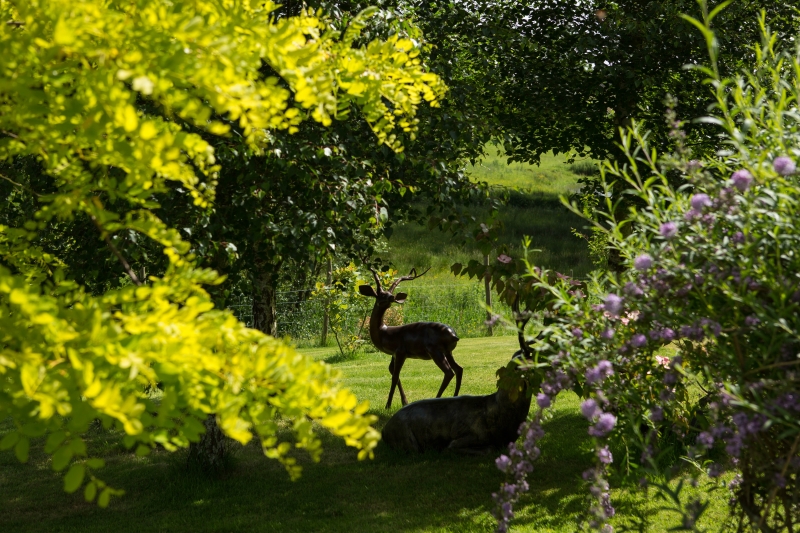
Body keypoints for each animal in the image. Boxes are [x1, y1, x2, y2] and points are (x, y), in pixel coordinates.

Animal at [358, 266, 460, 408]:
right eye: (381, 294)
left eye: (389, 293)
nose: (391, 297)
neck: (384, 332)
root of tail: (454, 335)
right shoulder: (394, 354)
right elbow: (392, 371)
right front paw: (404, 402)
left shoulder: (400, 351)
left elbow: (395, 376)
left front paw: (388, 405)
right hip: (448, 351)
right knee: (459, 369)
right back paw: (455, 396)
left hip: (435, 350)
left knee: (449, 372)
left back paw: (436, 398)